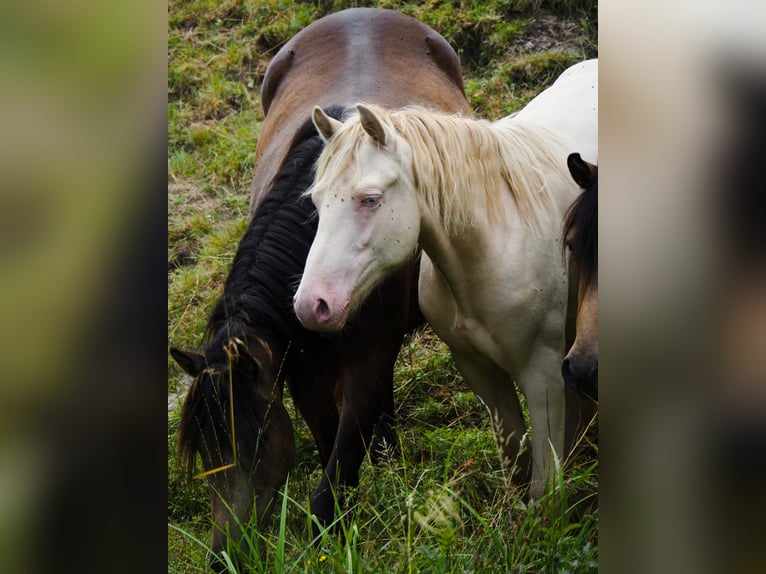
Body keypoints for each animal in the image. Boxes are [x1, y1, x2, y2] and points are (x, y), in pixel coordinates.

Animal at [170, 8, 469, 571]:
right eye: (205, 452)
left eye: (255, 439)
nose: (224, 555)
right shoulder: (302, 374)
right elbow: (331, 442)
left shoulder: (367, 357)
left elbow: (334, 474)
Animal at [293, 59, 598, 498]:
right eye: (317, 202)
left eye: (370, 199)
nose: (311, 305)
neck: (494, 248)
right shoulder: (479, 371)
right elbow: (517, 462)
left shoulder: (542, 376)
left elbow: (543, 484)